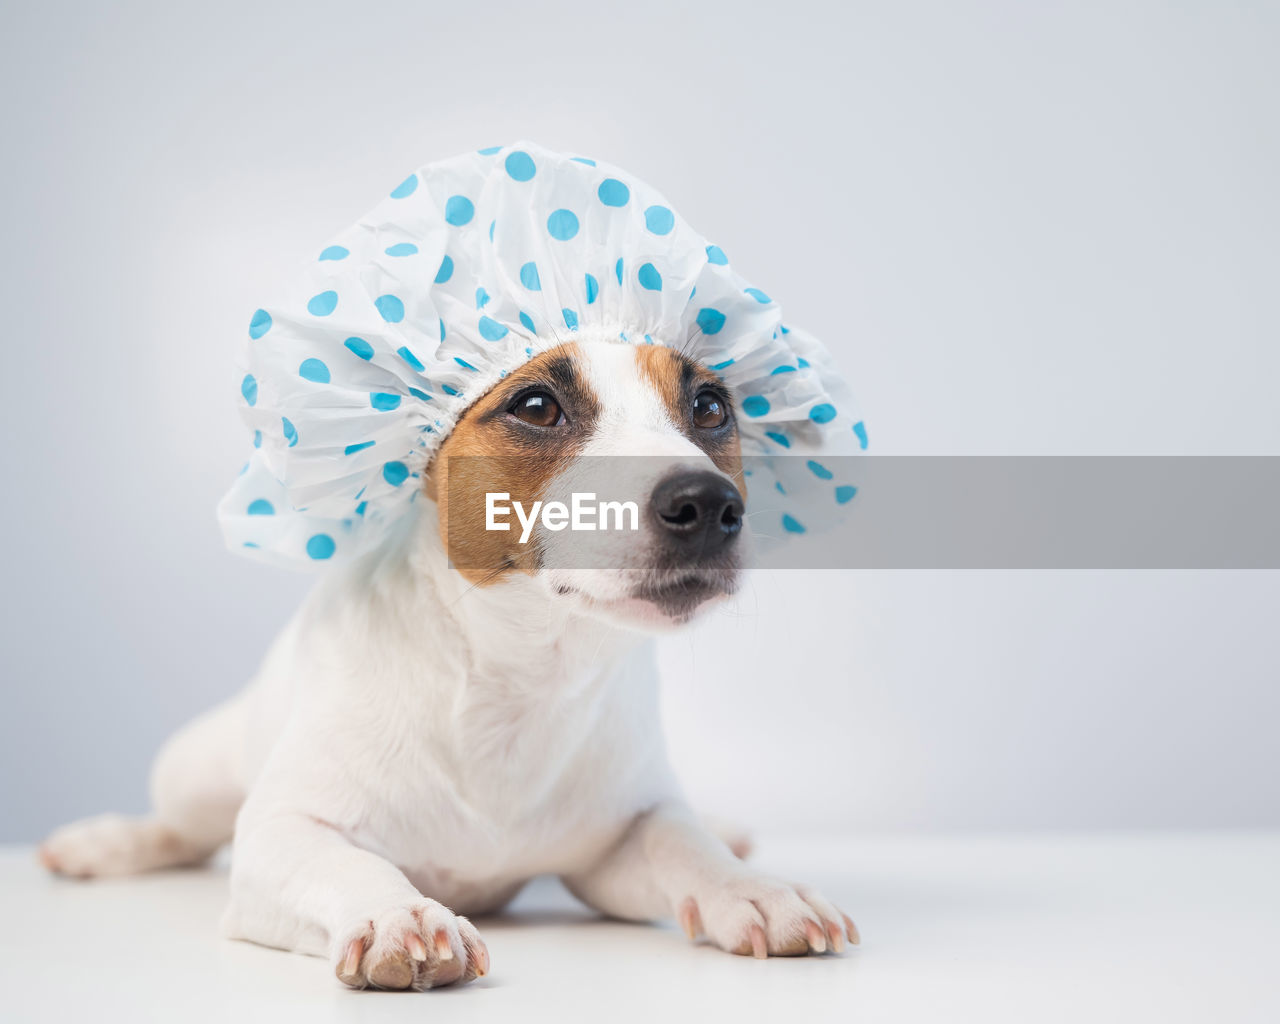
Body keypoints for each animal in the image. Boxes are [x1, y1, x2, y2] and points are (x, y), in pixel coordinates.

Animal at [40, 335, 860, 993]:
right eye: (537, 405)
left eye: (710, 406)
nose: (710, 504)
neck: (517, 677)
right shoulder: (282, 835)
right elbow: (347, 861)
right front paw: (396, 911)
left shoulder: (617, 845)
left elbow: (681, 842)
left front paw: (752, 888)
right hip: (193, 771)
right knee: (180, 827)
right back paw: (105, 841)